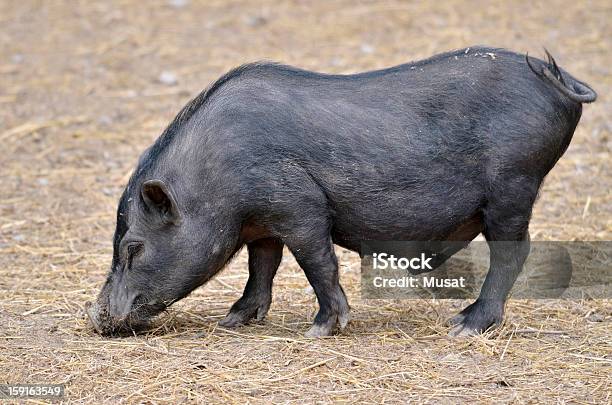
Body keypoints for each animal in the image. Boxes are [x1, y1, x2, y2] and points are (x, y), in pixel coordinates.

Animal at [86, 47, 592, 336]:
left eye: (132, 248)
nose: (94, 317)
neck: (215, 181)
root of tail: (554, 77)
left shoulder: (298, 205)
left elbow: (316, 261)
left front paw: (321, 330)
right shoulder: (263, 223)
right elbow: (262, 265)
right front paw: (232, 321)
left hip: (514, 185)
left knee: (514, 251)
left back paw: (463, 326)